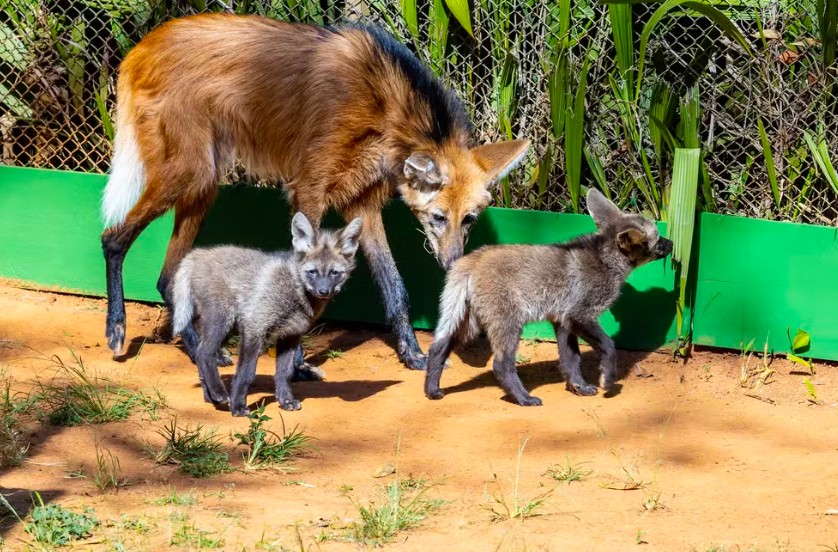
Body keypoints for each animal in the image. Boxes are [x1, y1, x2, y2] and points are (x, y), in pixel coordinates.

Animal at [99, 14, 530, 374]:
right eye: (438, 218)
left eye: (469, 220)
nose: (453, 262)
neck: (385, 112)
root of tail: (142, 45)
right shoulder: (308, 190)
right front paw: (296, 364)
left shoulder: (363, 205)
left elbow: (395, 287)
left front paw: (413, 355)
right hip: (188, 172)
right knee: (113, 237)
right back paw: (117, 329)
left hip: (204, 183)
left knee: (166, 277)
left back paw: (200, 351)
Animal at [171, 212, 362, 415]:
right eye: (312, 272)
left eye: (334, 273)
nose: (324, 292)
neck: (294, 290)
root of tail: (198, 253)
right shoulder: (254, 328)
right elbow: (246, 374)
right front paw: (238, 407)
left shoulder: (290, 336)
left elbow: (283, 374)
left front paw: (286, 401)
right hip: (222, 321)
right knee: (204, 353)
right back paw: (219, 393)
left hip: (228, 328)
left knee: (200, 354)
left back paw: (210, 397)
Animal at [424, 188, 673, 406]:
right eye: (658, 239)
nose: (671, 243)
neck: (605, 261)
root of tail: (471, 260)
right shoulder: (580, 316)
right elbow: (609, 346)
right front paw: (608, 380)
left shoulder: (563, 322)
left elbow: (571, 361)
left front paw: (579, 387)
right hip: (508, 325)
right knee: (501, 365)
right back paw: (523, 399)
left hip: (468, 325)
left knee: (437, 348)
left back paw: (431, 390)